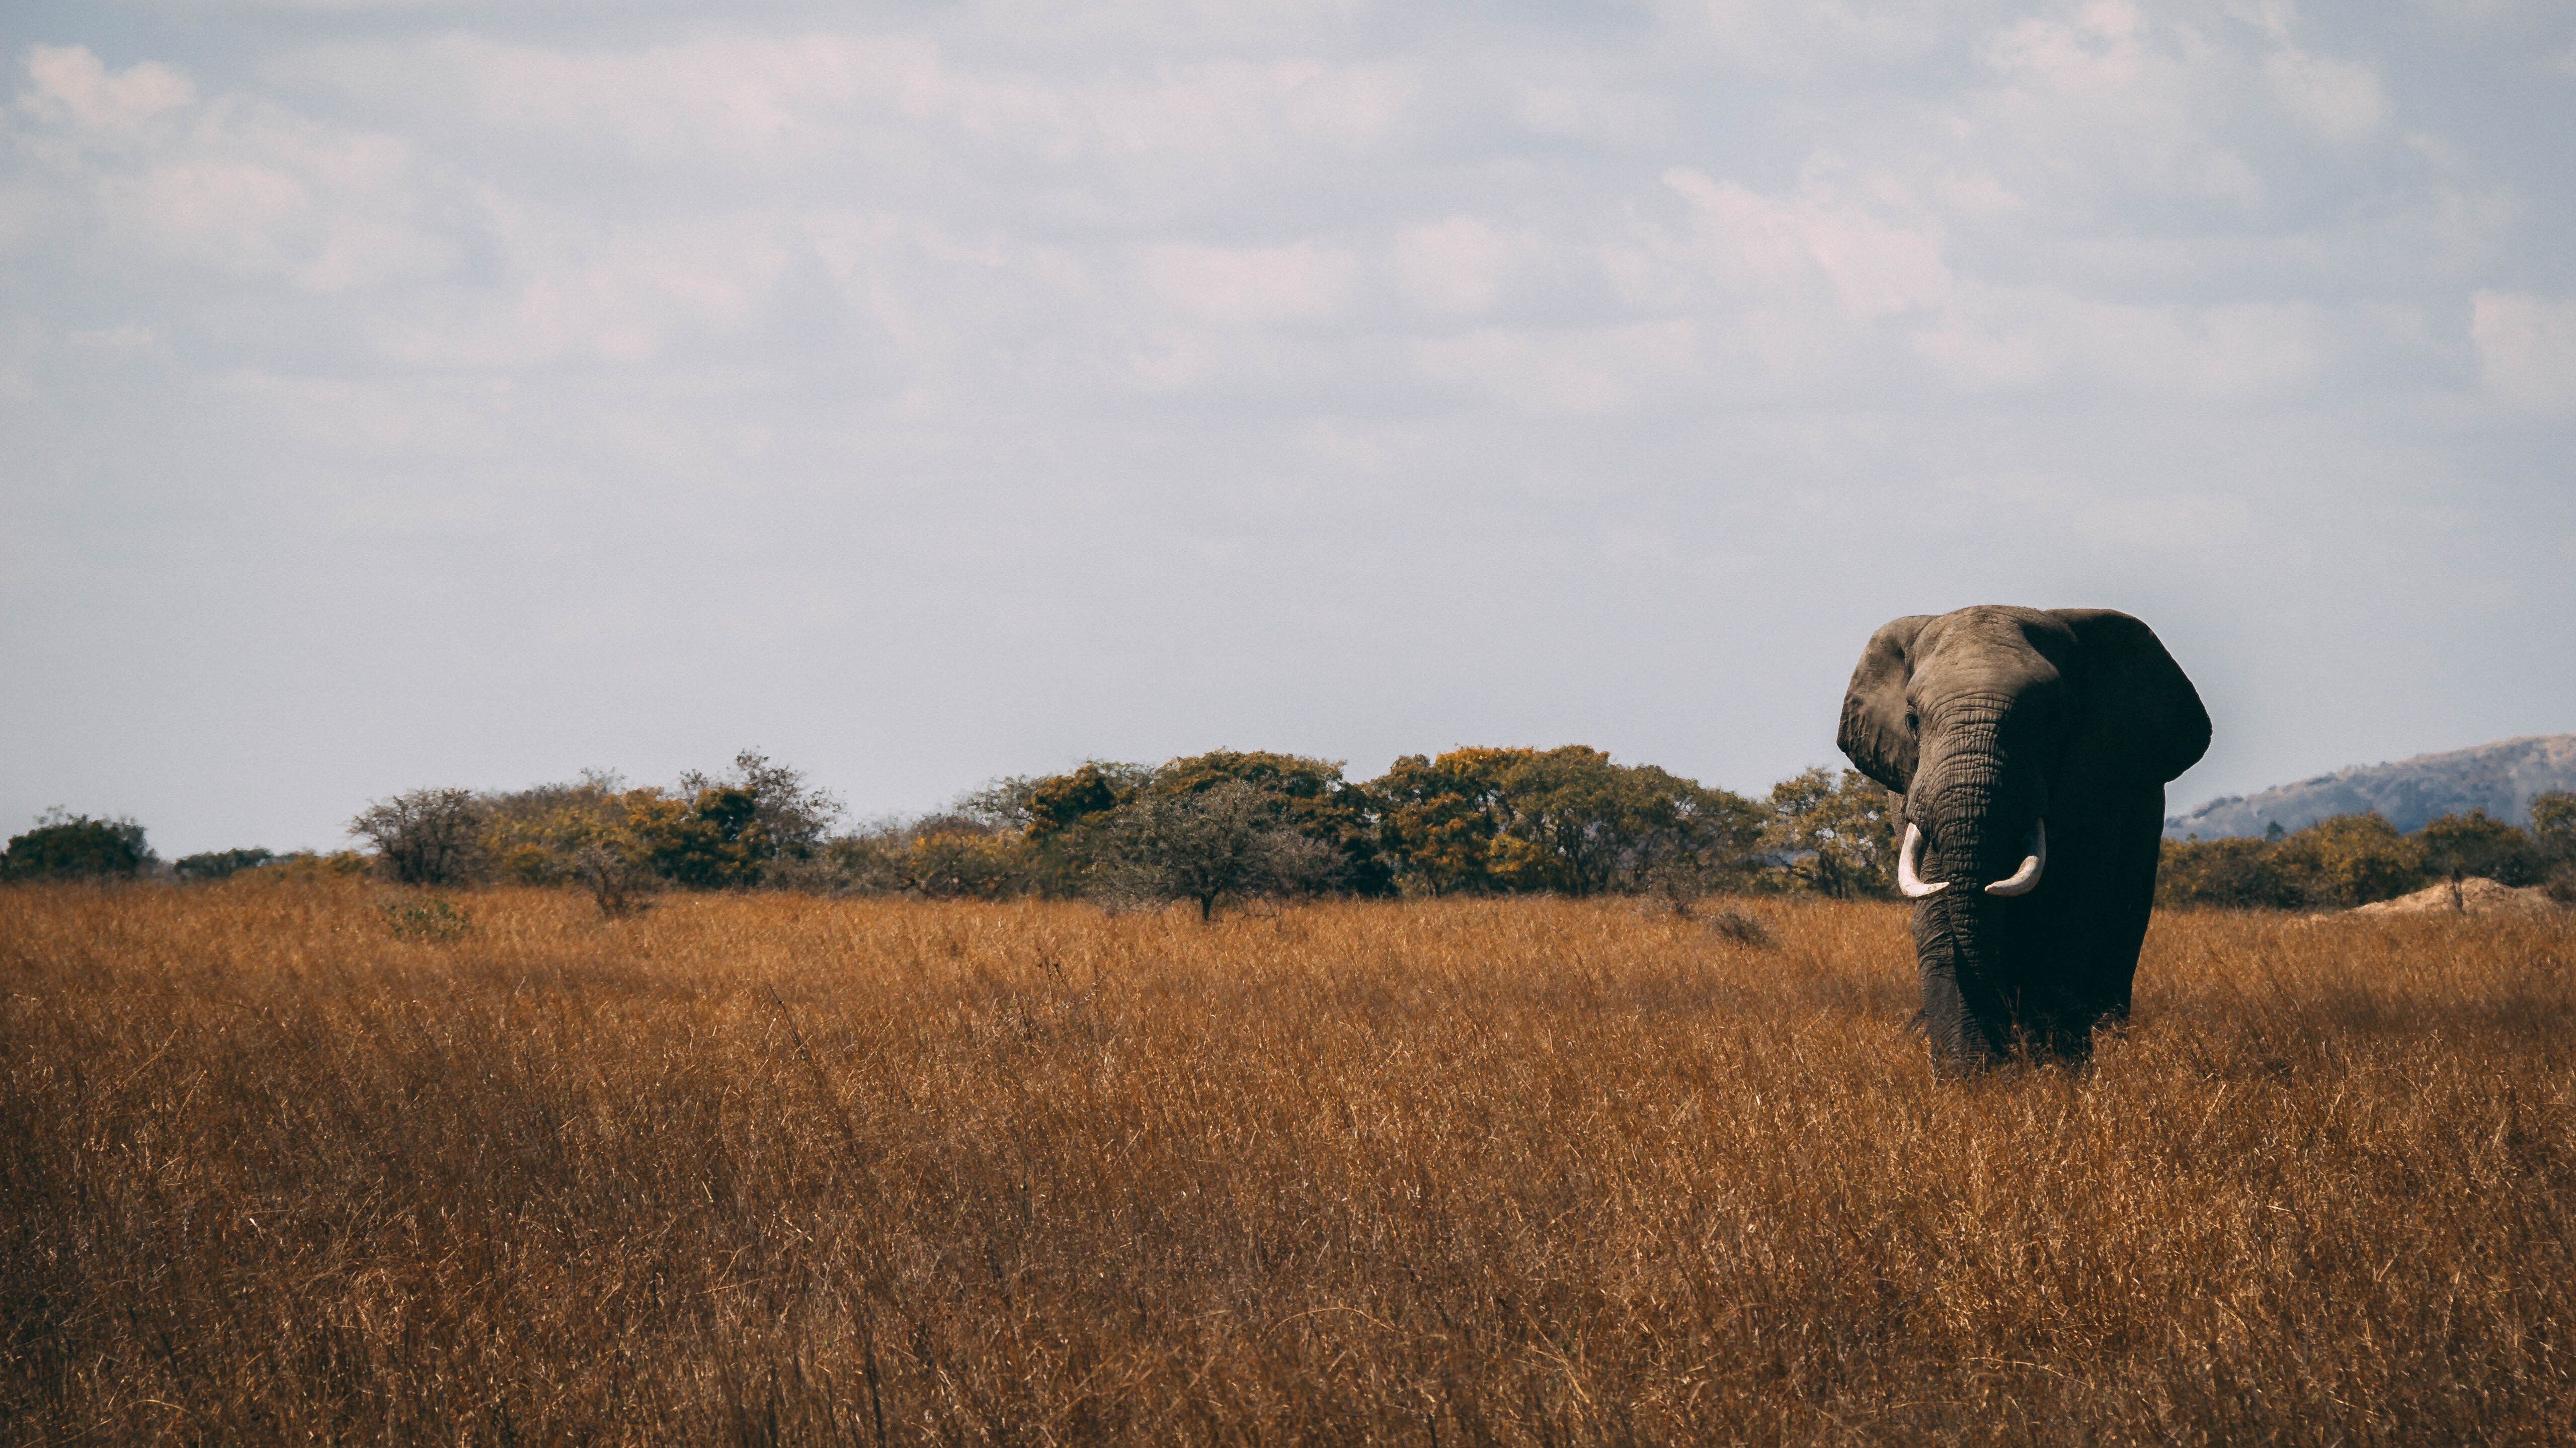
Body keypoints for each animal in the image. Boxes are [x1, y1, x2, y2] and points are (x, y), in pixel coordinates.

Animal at [1834, 603, 2215, 1066]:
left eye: (2052, 720)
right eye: (1912, 720)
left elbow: (2063, 917)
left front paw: (2053, 1070)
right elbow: (1939, 914)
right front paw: (1972, 1078)